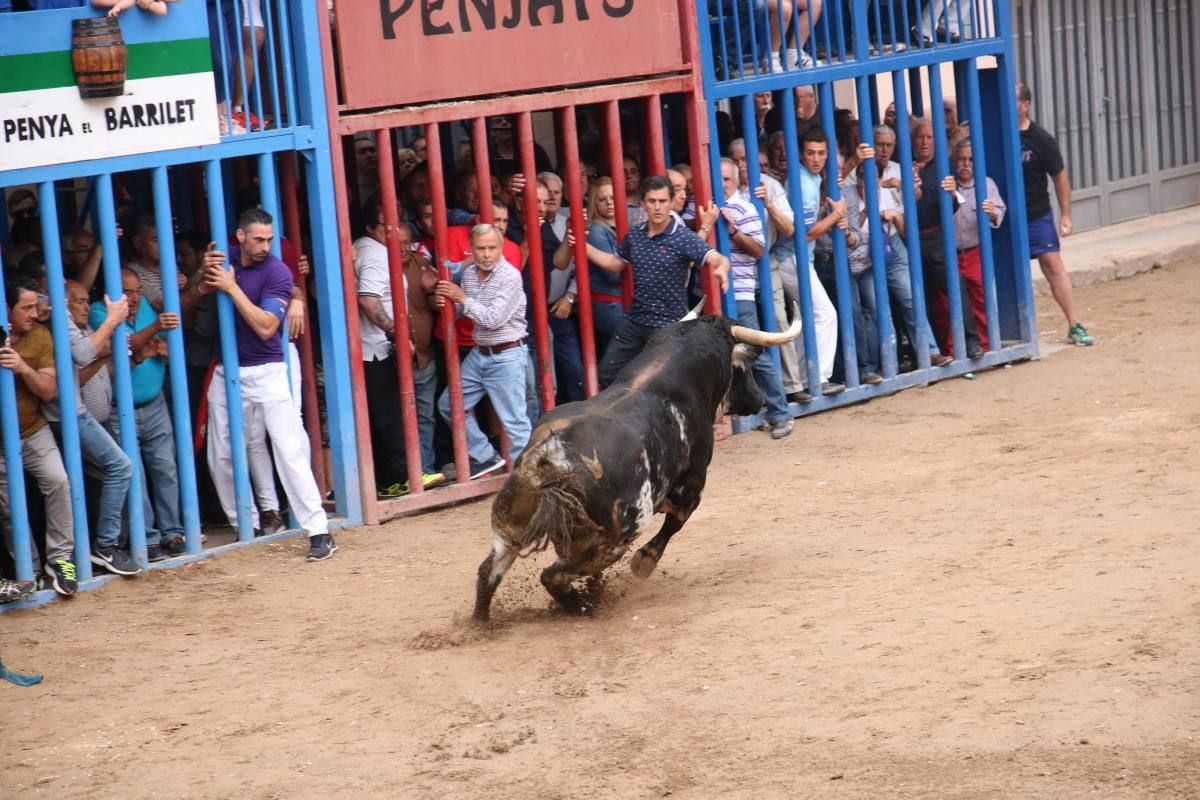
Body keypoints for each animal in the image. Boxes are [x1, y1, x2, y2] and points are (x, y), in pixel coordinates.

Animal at [472, 307, 801, 618]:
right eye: (744, 368)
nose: (759, 399)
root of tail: (553, 454)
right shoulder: (690, 488)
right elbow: (674, 525)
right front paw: (644, 562)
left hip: (511, 526)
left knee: (489, 571)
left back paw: (482, 623)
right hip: (614, 538)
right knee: (552, 576)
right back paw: (584, 607)